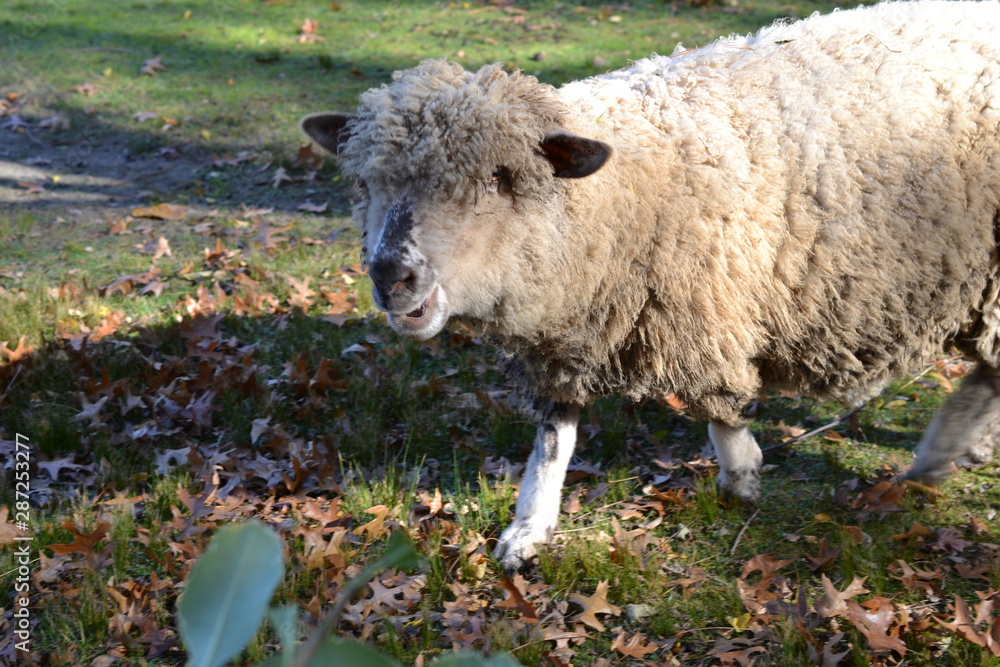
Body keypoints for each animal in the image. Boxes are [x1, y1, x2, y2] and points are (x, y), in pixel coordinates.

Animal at [302, 0, 1000, 573]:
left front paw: (741, 475)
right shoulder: (569, 334)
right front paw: (529, 528)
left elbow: (717, 403)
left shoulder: (705, 305)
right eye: (366, 180)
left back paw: (942, 450)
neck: (613, 201)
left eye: (501, 177)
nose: (392, 276)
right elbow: (552, 441)